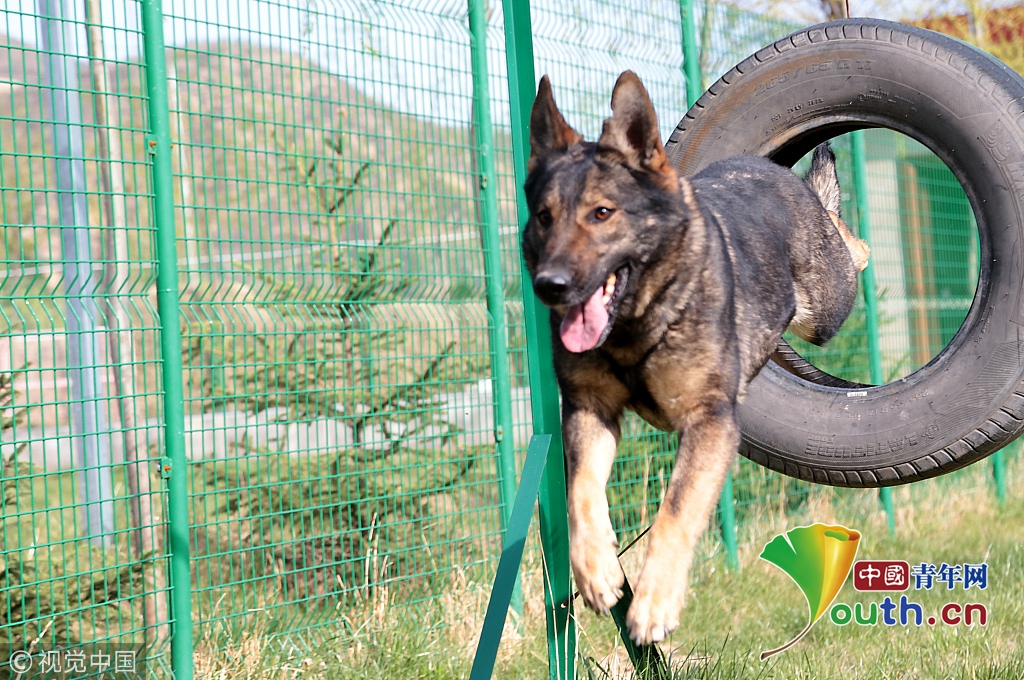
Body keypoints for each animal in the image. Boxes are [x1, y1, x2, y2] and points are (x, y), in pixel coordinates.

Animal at [524, 71, 868, 647]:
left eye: (602, 213)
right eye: (544, 217)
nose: (550, 286)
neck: (638, 323)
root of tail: (774, 171)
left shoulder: (709, 423)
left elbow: (676, 510)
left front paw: (653, 602)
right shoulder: (590, 411)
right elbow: (582, 492)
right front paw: (595, 571)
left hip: (823, 308)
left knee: (854, 248)